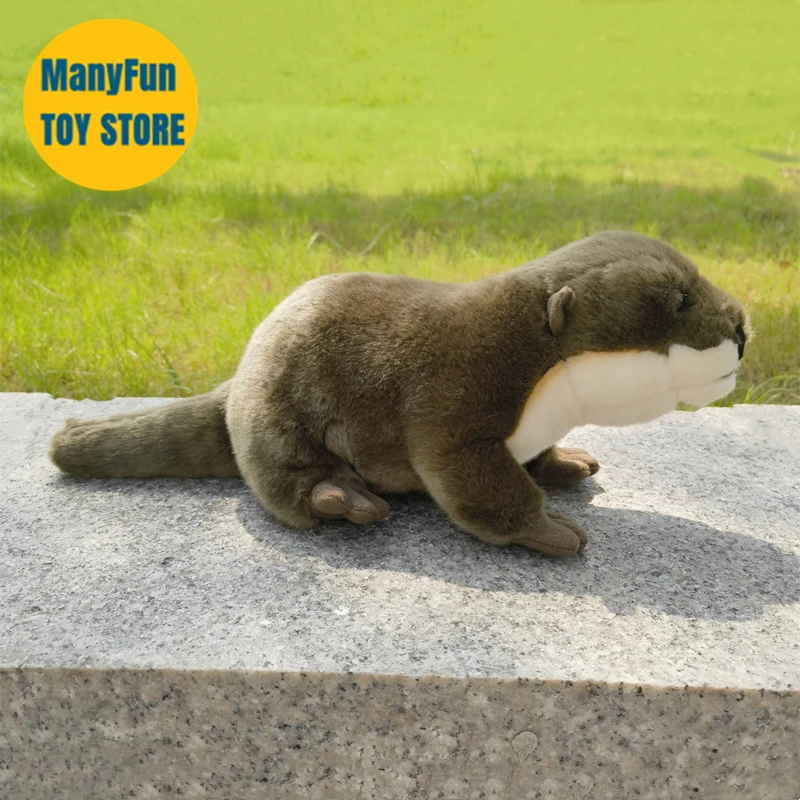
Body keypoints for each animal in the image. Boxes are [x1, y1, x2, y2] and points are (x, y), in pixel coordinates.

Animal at [50, 231, 749, 557]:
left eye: (697, 280)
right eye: (678, 302)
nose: (743, 326)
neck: (540, 362)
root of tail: (240, 369)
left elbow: (534, 458)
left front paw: (565, 463)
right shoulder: (461, 402)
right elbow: (474, 485)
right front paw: (549, 529)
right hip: (273, 409)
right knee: (280, 479)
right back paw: (340, 500)